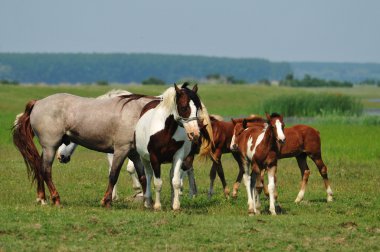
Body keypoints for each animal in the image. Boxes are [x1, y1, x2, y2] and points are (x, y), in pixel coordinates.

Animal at [12, 89, 163, 206]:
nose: (63, 157)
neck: (138, 113)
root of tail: (38, 103)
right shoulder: (121, 150)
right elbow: (113, 175)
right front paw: (106, 201)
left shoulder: (134, 154)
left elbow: (143, 177)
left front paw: (147, 202)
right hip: (50, 147)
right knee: (46, 170)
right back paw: (56, 199)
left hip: (47, 148)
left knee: (39, 166)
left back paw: (42, 199)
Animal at [134, 83, 212, 211]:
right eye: (184, 107)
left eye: (197, 109)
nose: (195, 134)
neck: (166, 131)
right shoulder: (154, 157)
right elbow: (157, 183)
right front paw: (157, 206)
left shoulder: (178, 156)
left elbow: (175, 181)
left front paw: (176, 205)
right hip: (144, 158)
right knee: (148, 175)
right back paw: (148, 202)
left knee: (171, 176)